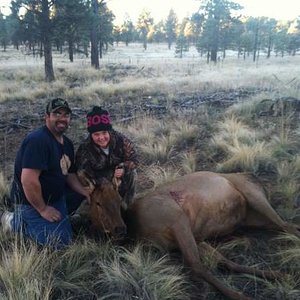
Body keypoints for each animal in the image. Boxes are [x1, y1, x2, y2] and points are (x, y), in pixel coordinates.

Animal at [87, 171, 300, 300]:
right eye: (97, 203)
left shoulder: (177, 218)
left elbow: (196, 266)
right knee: (289, 226)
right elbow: (225, 262)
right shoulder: (195, 237)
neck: (137, 228)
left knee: (287, 225)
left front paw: (240, 296)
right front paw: (276, 275)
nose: (119, 229)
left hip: (254, 195)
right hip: (253, 219)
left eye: (118, 198)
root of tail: (256, 179)